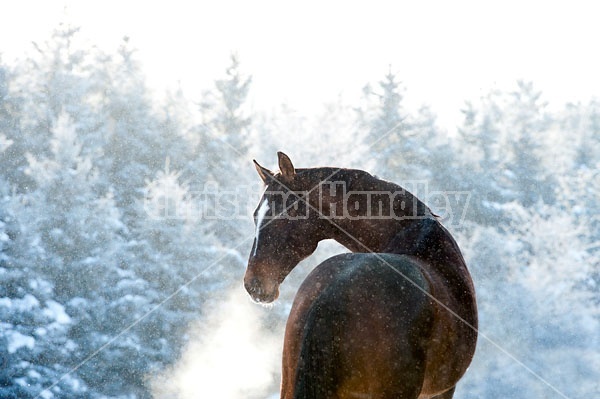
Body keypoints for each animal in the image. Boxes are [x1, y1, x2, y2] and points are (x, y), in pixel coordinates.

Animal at [241, 153, 476, 399]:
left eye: (287, 213)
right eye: (256, 216)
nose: (253, 284)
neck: (416, 236)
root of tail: (333, 293)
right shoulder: (442, 391)